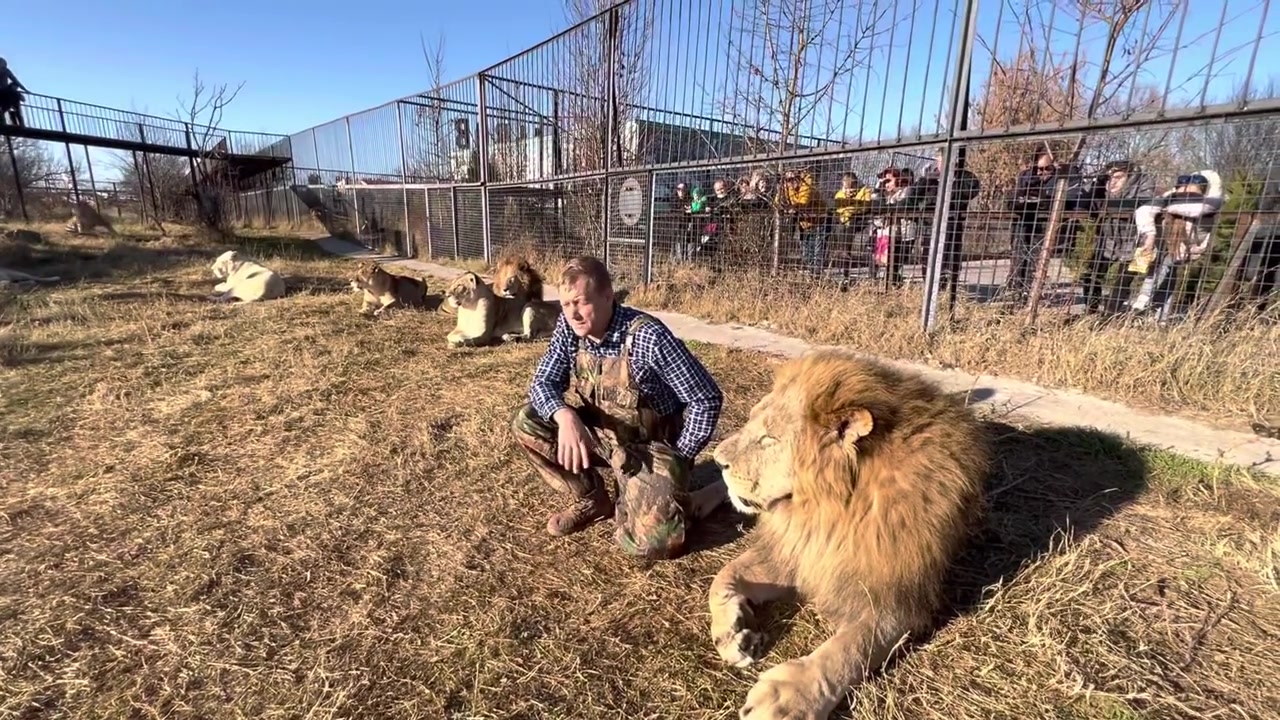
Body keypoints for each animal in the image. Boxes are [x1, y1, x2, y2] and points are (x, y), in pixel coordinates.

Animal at [711, 345, 988, 712]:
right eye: (751, 422)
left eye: (769, 438)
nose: (717, 460)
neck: (828, 510)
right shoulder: (798, 551)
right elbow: (723, 576)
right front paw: (732, 635)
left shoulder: (894, 598)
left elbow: (848, 650)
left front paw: (787, 697)